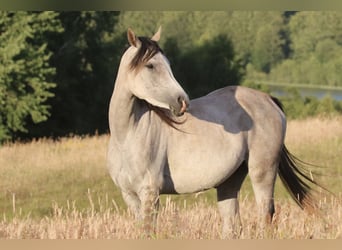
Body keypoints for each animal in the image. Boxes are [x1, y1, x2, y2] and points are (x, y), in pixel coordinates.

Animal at [107, 27, 324, 238]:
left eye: (167, 63)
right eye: (150, 66)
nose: (182, 101)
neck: (128, 136)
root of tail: (268, 99)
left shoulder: (150, 193)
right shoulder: (130, 195)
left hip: (263, 173)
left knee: (265, 217)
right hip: (229, 182)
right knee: (232, 227)